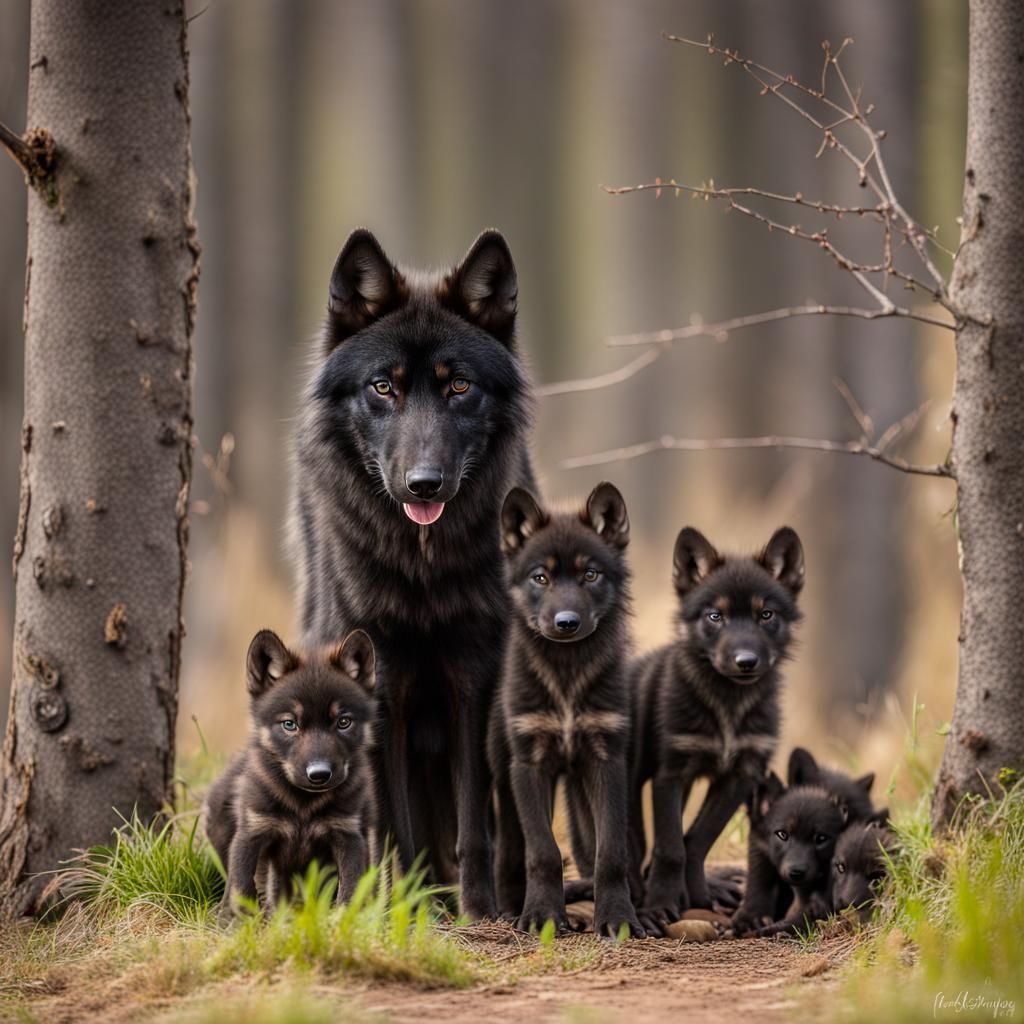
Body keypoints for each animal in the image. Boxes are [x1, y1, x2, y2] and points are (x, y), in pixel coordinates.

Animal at [205, 628, 376, 915]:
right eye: (289, 724)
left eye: (343, 722)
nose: (319, 774)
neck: (303, 805)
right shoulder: (252, 831)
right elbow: (240, 886)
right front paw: (235, 922)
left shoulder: (348, 834)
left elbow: (350, 890)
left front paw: (345, 921)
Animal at [291, 229, 534, 919]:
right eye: (383, 387)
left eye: (459, 387)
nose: (423, 483)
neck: (421, 566)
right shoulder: (381, 682)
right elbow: (392, 823)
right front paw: (399, 906)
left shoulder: (472, 677)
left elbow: (474, 818)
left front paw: (480, 910)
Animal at [488, 483, 644, 938]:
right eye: (540, 577)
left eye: (590, 574)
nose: (567, 622)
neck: (567, 672)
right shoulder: (529, 765)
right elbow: (543, 852)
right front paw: (542, 916)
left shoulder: (607, 761)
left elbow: (611, 853)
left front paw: (617, 917)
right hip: (505, 784)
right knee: (511, 851)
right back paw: (511, 908)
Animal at [628, 525, 804, 933]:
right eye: (715, 616)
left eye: (765, 615)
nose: (746, 661)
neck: (727, 703)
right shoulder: (670, 774)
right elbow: (671, 846)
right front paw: (660, 904)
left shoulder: (740, 775)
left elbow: (697, 838)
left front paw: (696, 898)